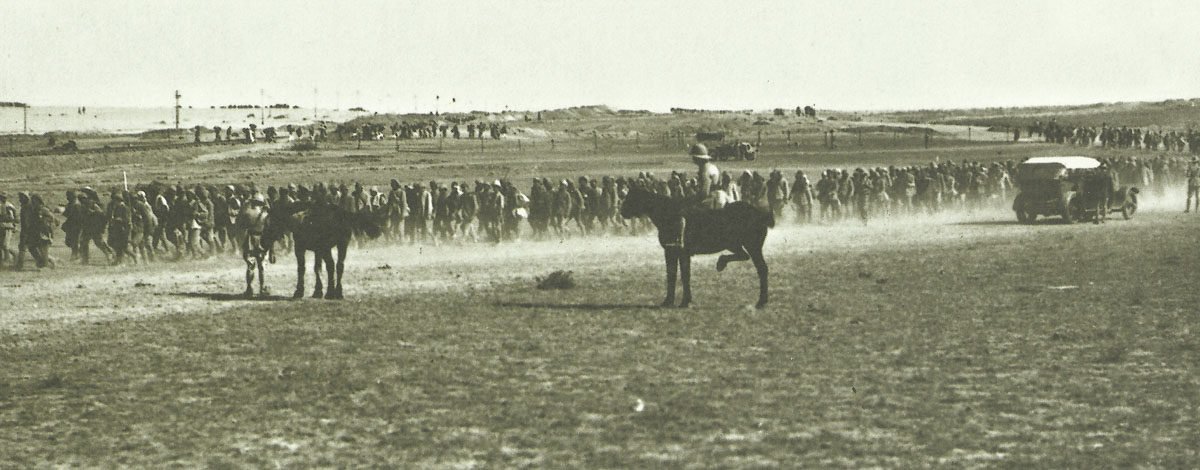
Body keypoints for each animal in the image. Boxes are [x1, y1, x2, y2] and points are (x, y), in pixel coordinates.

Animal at [624, 187, 772, 309]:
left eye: (631, 197)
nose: (622, 211)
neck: (671, 216)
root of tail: (760, 214)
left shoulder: (678, 252)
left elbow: (681, 275)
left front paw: (683, 302)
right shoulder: (674, 252)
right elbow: (675, 274)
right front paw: (672, 301)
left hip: (752, 247)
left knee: (761, 269)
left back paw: (761, 302)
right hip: (736, 245)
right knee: (745, 257)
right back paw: (722, 264)